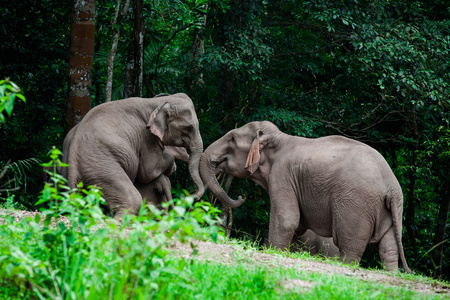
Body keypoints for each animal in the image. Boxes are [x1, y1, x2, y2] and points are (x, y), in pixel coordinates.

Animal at [62, 92, 204, 219]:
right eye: (189, 128)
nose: (191, 194)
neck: (156, 102)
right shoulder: (146, 137)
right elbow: (147, 171)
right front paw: (172, 166)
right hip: (100, 168)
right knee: (133, 199)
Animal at [200, 120, 412, 274]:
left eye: (232, 139)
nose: (240, 196)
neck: (279, 139)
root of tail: (392, 187)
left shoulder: (283, 175)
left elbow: (287, 220)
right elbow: (297, 225)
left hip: (356, 205)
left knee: (349, 245)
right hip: (389, 210)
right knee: (388, 248)